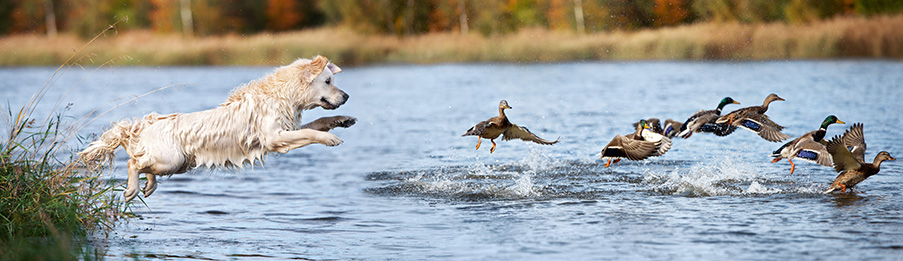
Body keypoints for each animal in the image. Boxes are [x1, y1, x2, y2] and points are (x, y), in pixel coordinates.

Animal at [80, 55, 356, 201]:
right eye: (328, 81)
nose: (346, 96)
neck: (280, 96)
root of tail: (142, 126)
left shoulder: (287, 130)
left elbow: (317, 124)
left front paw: (342, 120)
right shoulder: (274, 138)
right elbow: (310, 133)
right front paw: (331, 140)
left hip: (177, 163)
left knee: (143, 165)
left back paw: (149, 186)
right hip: (171, 160)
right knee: (132, 163)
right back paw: (133, 188)